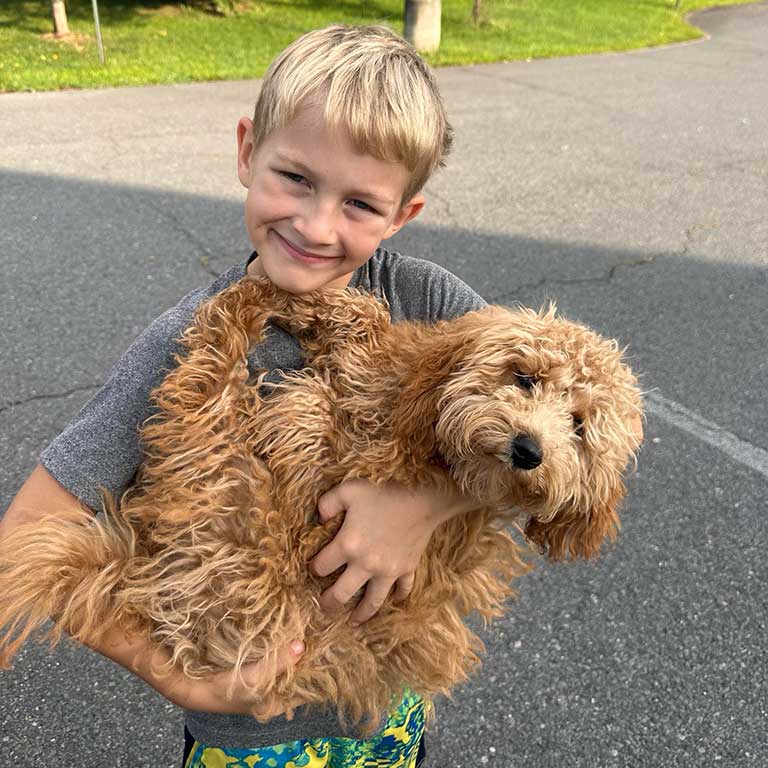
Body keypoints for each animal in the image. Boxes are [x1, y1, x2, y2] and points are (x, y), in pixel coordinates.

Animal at [0, 276, 640, 732]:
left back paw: (252, 297)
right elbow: (365, 320)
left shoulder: (362, 424)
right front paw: (316, 302)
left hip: (224, 476)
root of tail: (141, 573)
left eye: (580, 426)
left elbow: (354, 340)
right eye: (524, 377)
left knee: (214, 365)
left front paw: (306, 302)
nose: (529, 450)